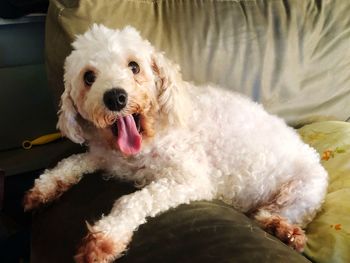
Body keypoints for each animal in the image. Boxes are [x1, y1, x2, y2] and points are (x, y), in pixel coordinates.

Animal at [23, 24, 328, 263]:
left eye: (134, 66)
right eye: (89, 77)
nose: (115, 97)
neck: (149, 136)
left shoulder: (189, 179)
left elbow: (132, 200)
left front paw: (107, 235)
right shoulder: (107, 157)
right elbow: (72, 162)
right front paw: (45, 188)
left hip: (305, 188)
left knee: (273, 213)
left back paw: (284, 230)